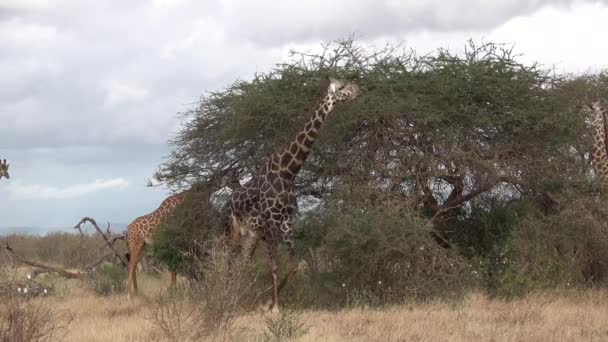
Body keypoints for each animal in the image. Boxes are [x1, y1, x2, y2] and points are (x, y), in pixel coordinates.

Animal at [226, 78, 364, 312]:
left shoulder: (287, 223)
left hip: (251, 235)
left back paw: (241, 298)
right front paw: (274, 307)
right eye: (342, 87)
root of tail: (226, 203)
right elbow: (274, 266)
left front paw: (266, 301)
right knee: (226, 261)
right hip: (232, 231)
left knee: (242, 263)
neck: (287, 173)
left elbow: (293, 265)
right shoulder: (270, 224)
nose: (359, 90)